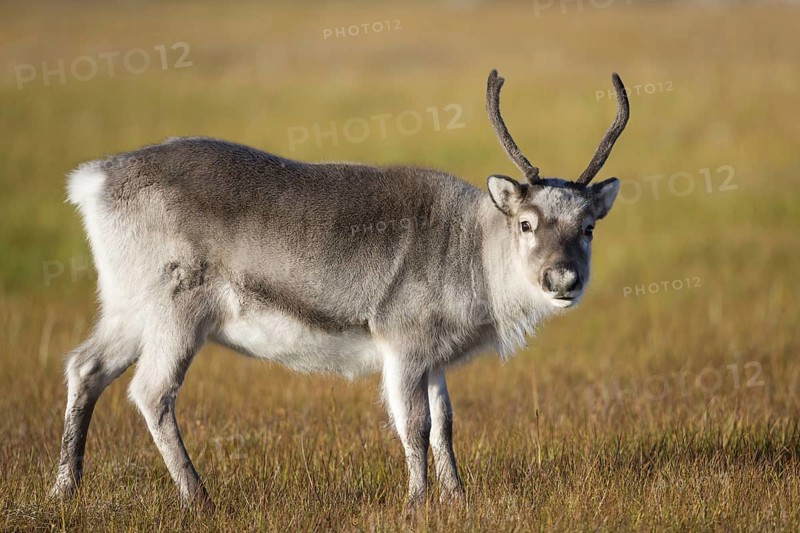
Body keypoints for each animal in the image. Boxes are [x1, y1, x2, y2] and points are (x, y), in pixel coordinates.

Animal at [52, 69, 629, 507]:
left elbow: (445, 425)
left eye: (588, 227)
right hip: (177, 311)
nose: (563, 279)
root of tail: (93, 181)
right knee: (151, 391)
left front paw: (458, 497)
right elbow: (414, 425)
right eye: (527, 223)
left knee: (85, 367)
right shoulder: (402, 343)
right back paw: (199, 497)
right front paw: (417, 502)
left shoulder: (435, 357)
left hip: (128, 309)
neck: (474, 252)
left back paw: (64, 489)